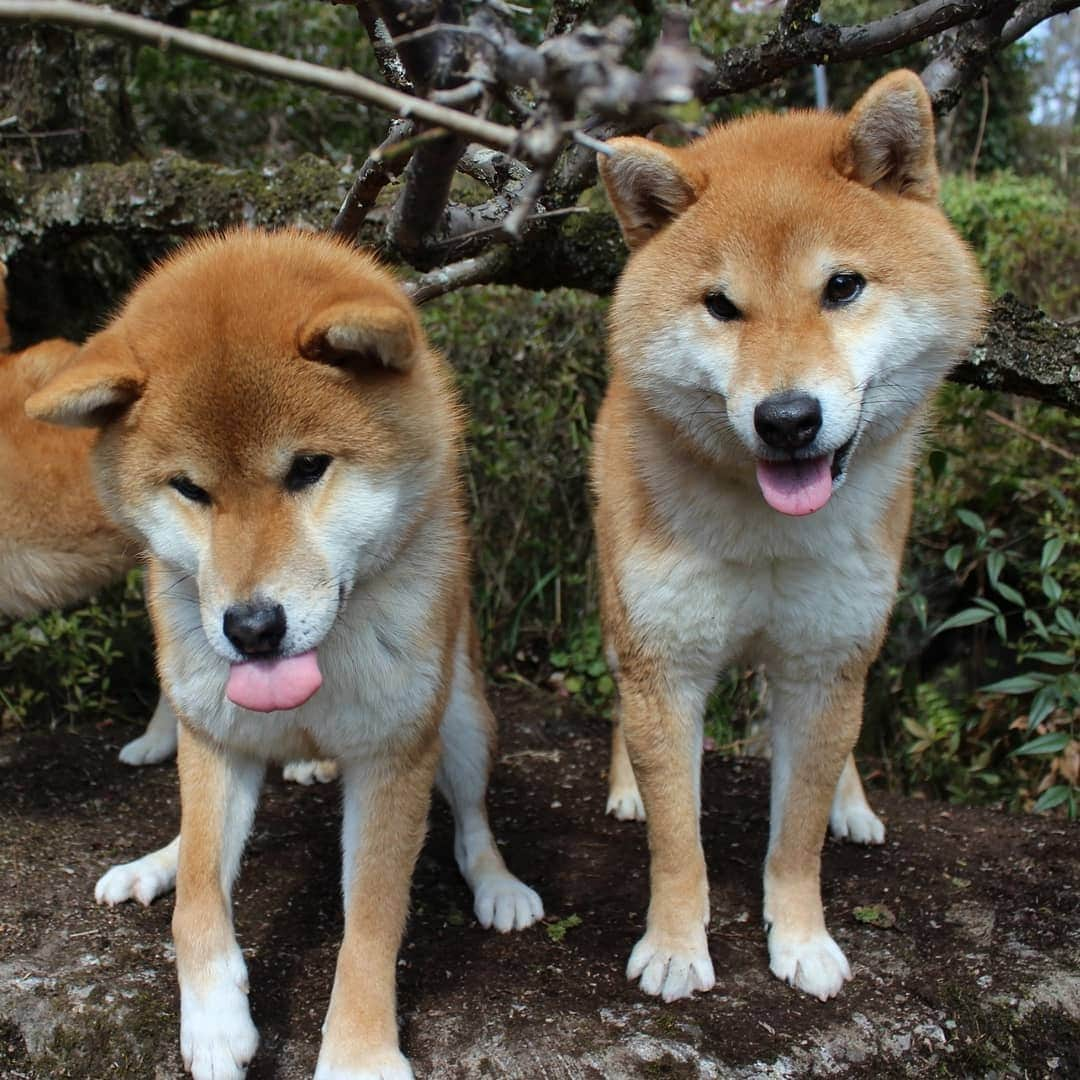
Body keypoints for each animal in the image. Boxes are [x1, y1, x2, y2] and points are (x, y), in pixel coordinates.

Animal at [26, 230, 544, 1080]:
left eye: (308, 468)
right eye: (189, 488)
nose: (252, 628)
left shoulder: (395, 755)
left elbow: (372, 924)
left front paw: (360, 1053)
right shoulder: (213, 735)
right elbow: (200, 894)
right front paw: (212, 1017)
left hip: (463, 719)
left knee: (471, 817)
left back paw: (497, 885)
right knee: (192, 839)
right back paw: (153, 864)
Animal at [596, 71, 984, 1002]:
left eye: (842, 287)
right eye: (721, 306)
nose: (787, 419)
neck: (768, 533)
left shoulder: (823, 665)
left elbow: (797, 836)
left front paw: (802, 939)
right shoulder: (665, 664)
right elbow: (678, 841)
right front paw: (674, 946)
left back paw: (853, 803)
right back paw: (626, 787)